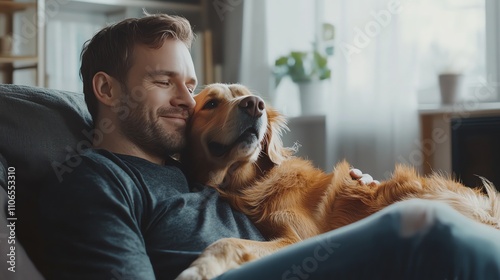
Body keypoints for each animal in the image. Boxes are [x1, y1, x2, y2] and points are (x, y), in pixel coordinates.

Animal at [177, 83, 500, 280]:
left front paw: (196, 270)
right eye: (211, 103)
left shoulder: (298, 239)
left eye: (253, 98)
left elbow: (226, 241)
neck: (248, 182)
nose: (255, 105)